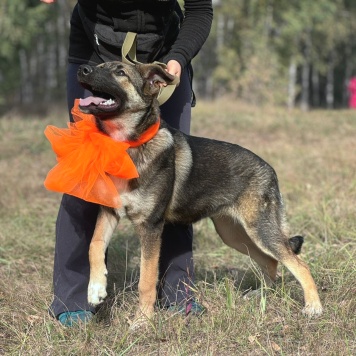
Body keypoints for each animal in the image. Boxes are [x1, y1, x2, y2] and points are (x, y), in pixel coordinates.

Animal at [77, 60, 322, 326]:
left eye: (120, 72)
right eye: (100, 64)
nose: (82, 70)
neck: (127, 145)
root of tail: (270, 170)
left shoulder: (151, 227)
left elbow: (146, 280)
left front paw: (143, 321)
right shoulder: (109, 211)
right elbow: (94, 245)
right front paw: (95, 289)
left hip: (261, 230)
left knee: (298, 264)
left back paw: (314, 307)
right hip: (233, 233)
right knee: (270, 260)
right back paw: (262, 295)